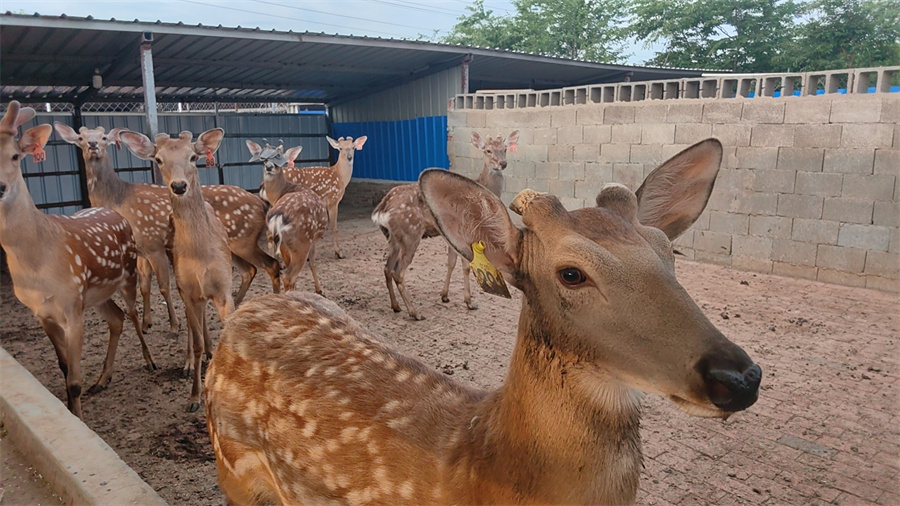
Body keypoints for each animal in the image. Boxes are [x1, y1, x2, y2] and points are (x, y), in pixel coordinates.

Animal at [0, 102, 156, 420]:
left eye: (15, 155)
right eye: (82, 138)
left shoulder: (72, 306)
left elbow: (73, 381)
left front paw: (81, 418)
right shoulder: (42, 311)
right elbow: (64, 369)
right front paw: (74, 411)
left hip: (128, 275)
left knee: (132, 313)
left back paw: (150, 360)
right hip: (96, 294)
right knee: (117, 318)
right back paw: (103, 378)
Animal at [118, 128, 234, 414]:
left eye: (193, 156)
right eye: (158, 160)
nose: (179, 186)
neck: (200, 255)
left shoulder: (224, 287)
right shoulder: (188, 288)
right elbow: (196, 337)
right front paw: (194, 398)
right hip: (182, 285)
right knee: (192, 326)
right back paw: (190, 363)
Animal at [246, 140, 330, 294]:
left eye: (279, 156)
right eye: (263, 158)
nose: (269, 167)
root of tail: (278, 216)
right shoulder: (313, 239)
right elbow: (312, 263)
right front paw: (319, 289)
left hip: (286, 242)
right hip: (302, 240)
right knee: (289, 276)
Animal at [370, 130, 516, 320]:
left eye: (505, 149)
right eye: (488, 150)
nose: (502, 164)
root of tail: (382, 208)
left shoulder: (450, 236)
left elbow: (450, 262)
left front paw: (445, 296)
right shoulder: (466, 233)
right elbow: (465, 266)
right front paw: (469, 302)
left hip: (393, 238)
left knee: (387, 268)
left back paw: (396, 306)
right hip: (411, 234)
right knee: (397, 271)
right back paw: (415, 313)